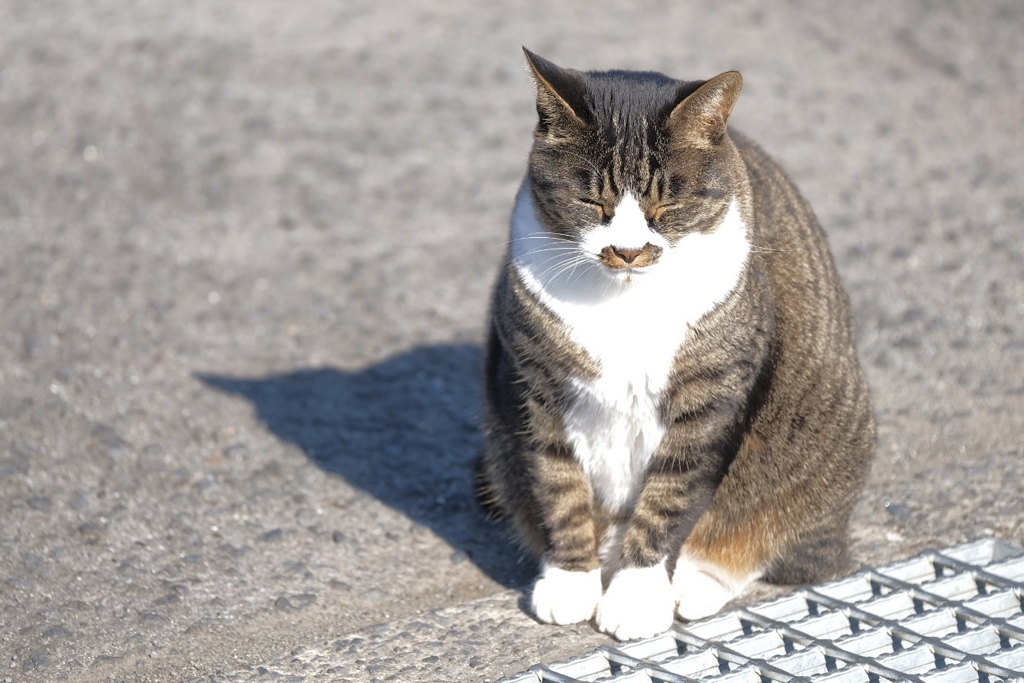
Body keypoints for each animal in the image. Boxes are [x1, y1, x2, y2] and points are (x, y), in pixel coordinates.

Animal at [475, 49, 876, 643]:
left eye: (666, 202)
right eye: (591, 200)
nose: (627, 250)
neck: (624, 299)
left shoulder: (710, 402)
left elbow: (669, 500)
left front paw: (637, 599)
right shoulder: (535, 388)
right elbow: (559, 487)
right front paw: (571, 581)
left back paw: (695, 583)